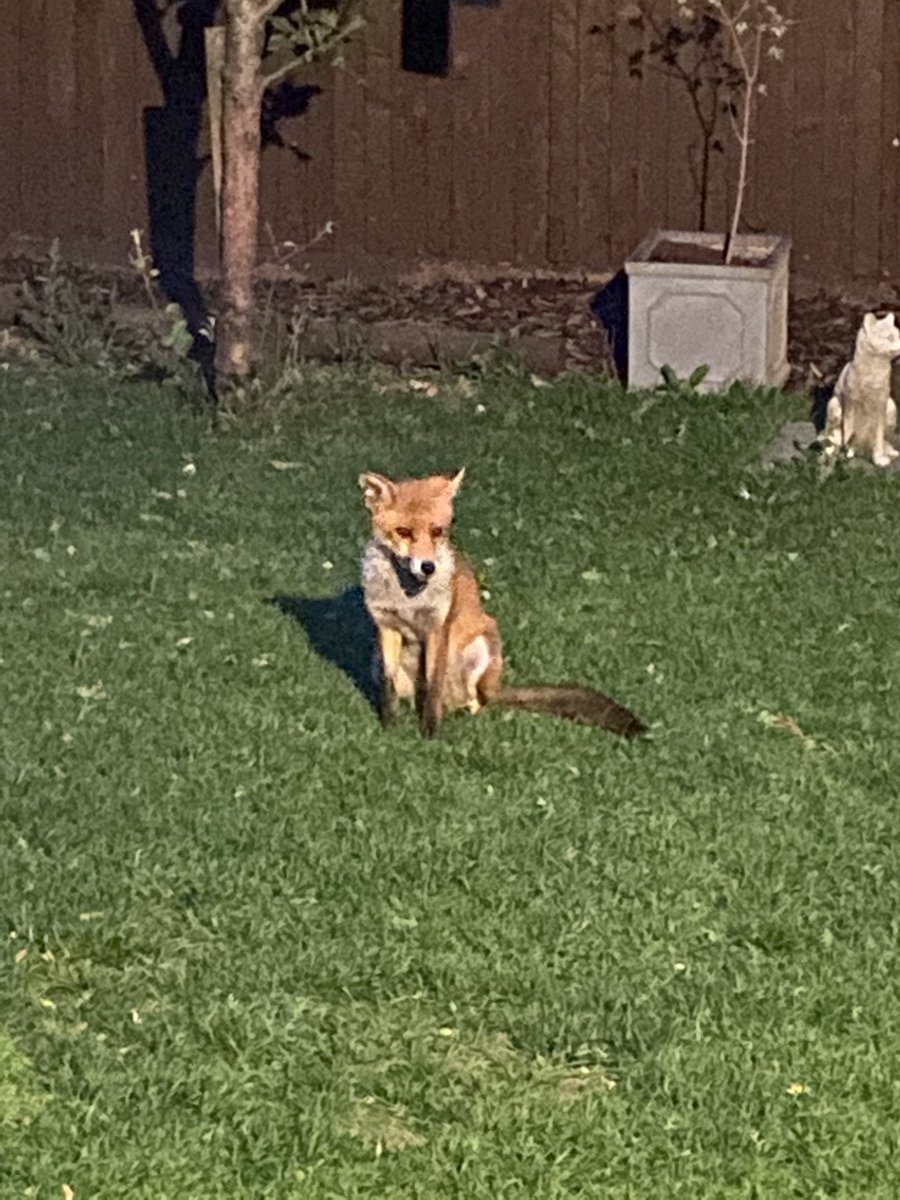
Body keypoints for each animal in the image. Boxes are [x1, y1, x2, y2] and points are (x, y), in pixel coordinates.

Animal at [359, 468, 646, 739]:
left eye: (437, 531)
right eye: (403, 532)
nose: (428, 567)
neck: (407, 596)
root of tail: (496, 689)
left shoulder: (438, 627)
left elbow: (433, 686)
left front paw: (430, 733)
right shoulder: (386, 626)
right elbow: (388, 687)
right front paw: (389, 727)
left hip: (482, 647)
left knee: (476, 702)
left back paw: (464, 710)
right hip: (376, 657)